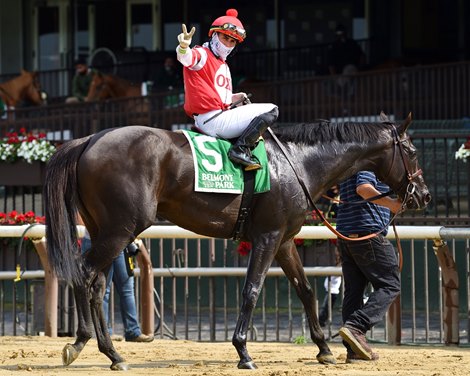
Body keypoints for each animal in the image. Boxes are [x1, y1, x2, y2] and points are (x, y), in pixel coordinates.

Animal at [43, 111, 430, 370]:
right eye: (411, 150)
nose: (423, 195)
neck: (297, 162)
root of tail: (88, 140)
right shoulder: (267, 237)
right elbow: (251, 290)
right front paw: (243, 351)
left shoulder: (285, 240)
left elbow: (304, 290)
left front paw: (324, 348)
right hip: (120, 229)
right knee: (85, 274)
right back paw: (83, 343)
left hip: (104, 230)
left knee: (95, 283)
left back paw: (110, 352)